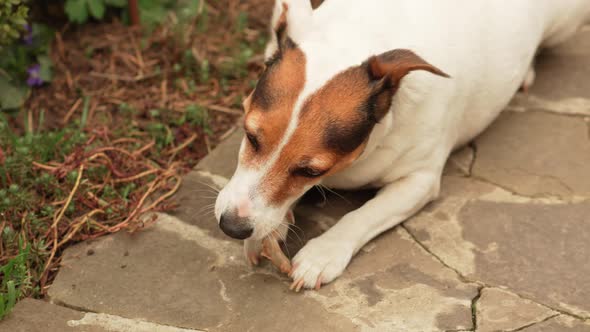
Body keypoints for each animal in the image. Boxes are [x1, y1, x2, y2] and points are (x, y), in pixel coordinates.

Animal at [216, 0, 590, 290]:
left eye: (310, 170)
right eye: (251, 136)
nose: (231, 227)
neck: (363, 34)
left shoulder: (419, 181)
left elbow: (363, 215)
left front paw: (322, 253)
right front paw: (270, 229)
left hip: (564, 24)